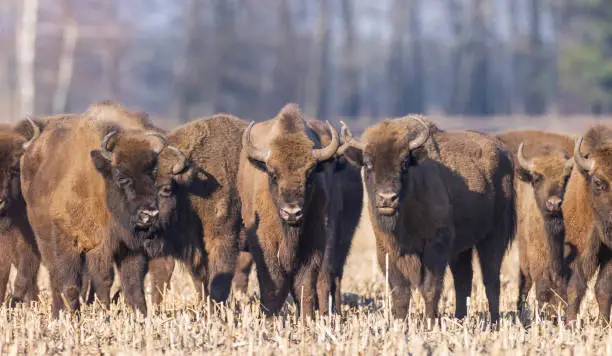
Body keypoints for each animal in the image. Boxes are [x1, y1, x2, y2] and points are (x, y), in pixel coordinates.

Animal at [20, 101, 188, 318]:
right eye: (122, 177)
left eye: (153, 174)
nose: (148, 215)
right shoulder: (76, 241)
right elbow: (75, 282)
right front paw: (77, 315)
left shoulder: (127, 248)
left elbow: (131, 284)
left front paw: (139, 315)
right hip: (46, 240)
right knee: (56, 275)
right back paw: (60, 312)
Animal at [342, 116, 512, 322]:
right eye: (368, 164)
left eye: (404, 163)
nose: (387, 198)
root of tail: (504, 152)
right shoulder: (387, 250)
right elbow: (399, 292)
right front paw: (400, 323)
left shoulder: (436, 246)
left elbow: (430, 288)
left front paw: (429, 323)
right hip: (462, 249)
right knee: (463, 279)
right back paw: (459, 318)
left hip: (494, 236)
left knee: (491, 279)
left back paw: (494, 322)